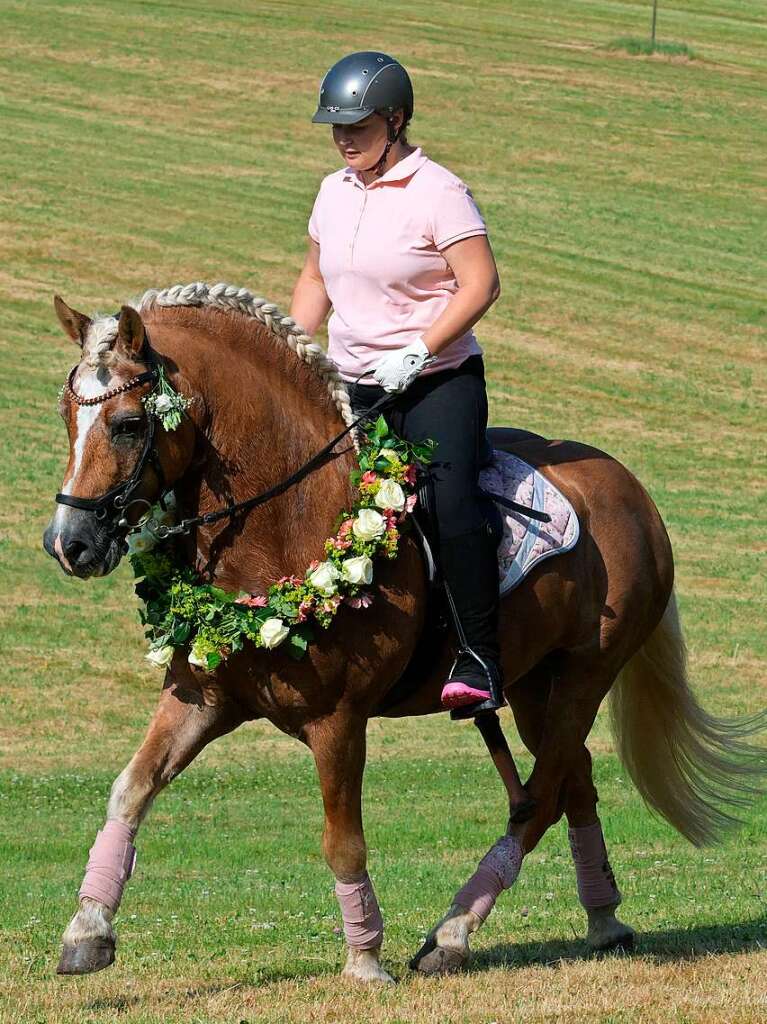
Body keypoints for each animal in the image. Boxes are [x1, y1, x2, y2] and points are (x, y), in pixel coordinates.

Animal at [44, 282, 761, 983]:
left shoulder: (338, 721)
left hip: (588, 673)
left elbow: (342, 842)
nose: (68, 544)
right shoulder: (202, 700)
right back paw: (603, 918)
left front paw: (364, 959)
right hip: (537, 684)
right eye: (67, 416)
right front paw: (87, 931)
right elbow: (129, 791)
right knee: (573, 782)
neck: (293, 518)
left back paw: (453, 933)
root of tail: (630, 491)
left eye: (129, 424)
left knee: (539, 799)